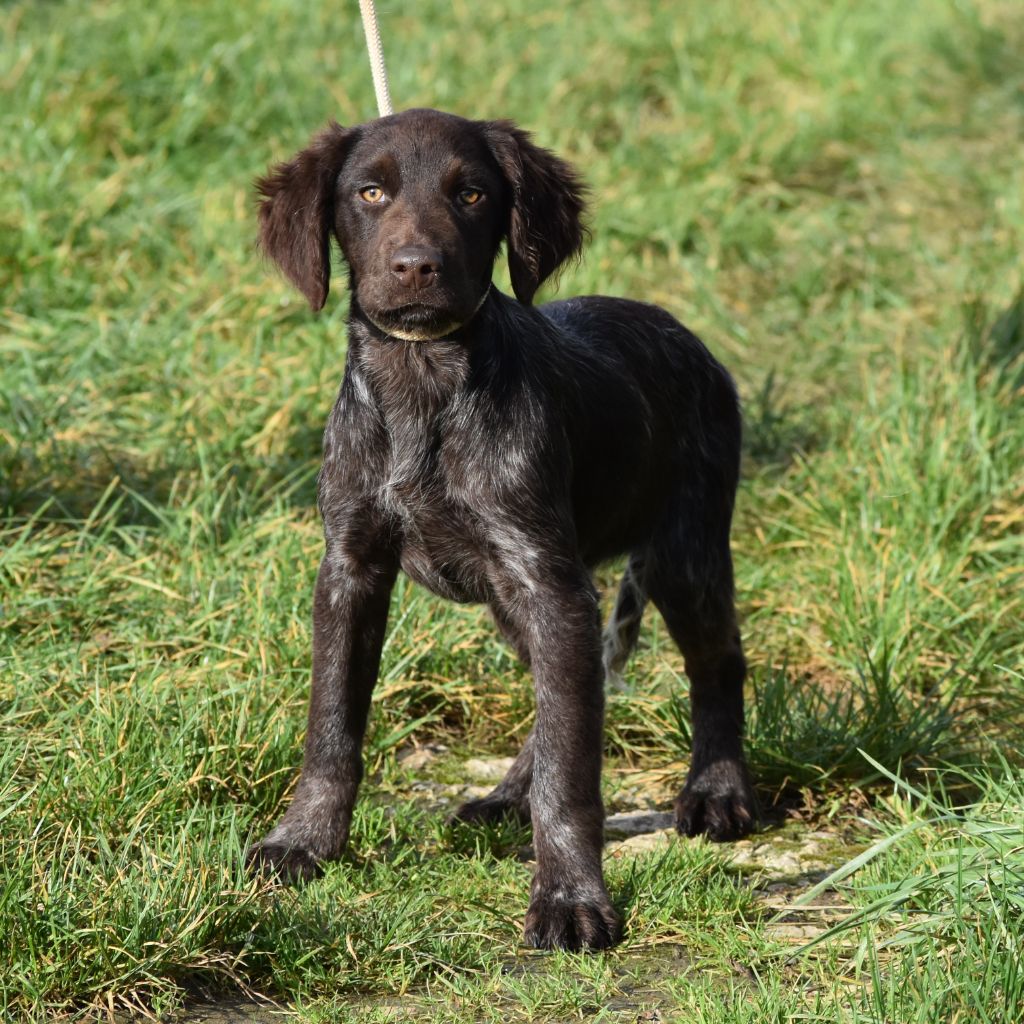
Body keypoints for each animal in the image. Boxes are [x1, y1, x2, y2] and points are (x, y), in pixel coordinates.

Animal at [247, 108, 756, 951]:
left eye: (473, 194)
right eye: (370, 192)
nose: (416, 267)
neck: (423, 385)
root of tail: (685, 336)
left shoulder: (547, 580)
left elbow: (572, 775)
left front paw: (571, 898)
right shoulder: (351, 567)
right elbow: (332, 726)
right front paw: (305, 842)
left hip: (680, 554)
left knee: (715, 665)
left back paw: (718, 792)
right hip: (525, 602)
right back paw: (508, 796)